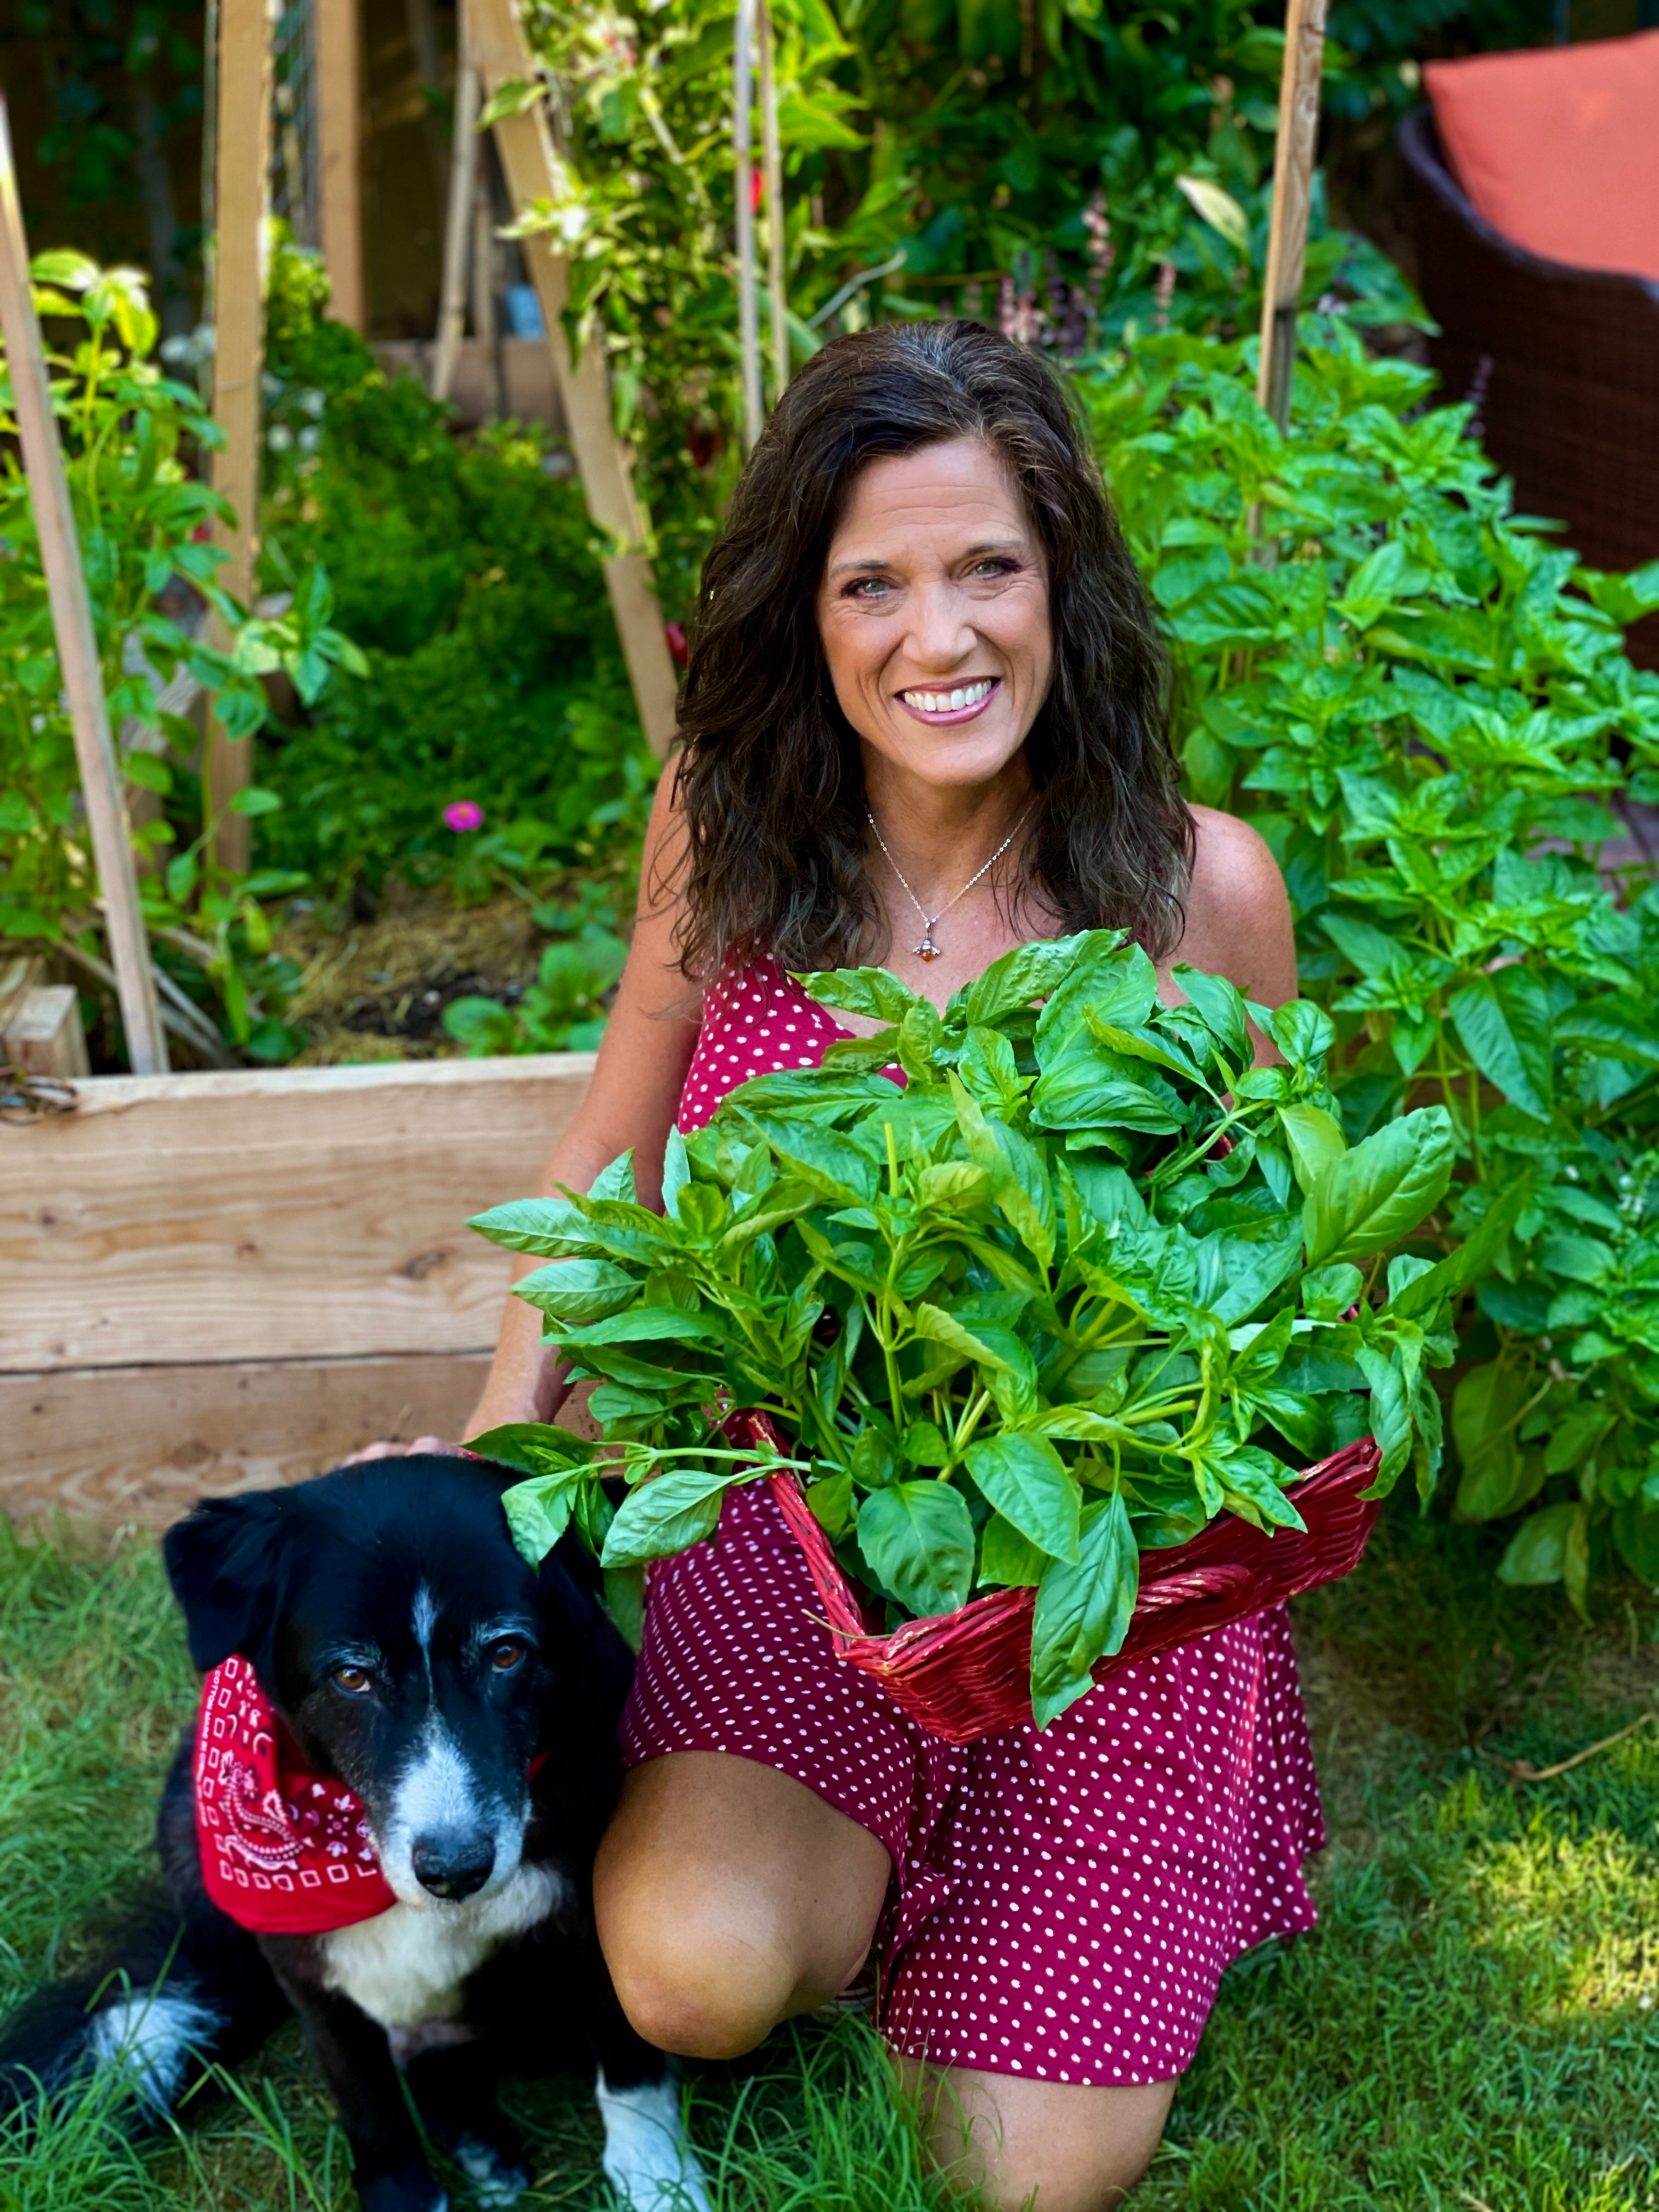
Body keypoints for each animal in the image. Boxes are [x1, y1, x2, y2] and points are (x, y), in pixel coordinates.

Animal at [0, 1451, 708, 2212]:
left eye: (507, 1655)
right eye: (350, 1677)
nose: (456, 1871)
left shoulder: (592, 1920)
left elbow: (631, 2066)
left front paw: (659, 2180)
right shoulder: (311, 1977)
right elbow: (367, 2102)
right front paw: (404, 2192)